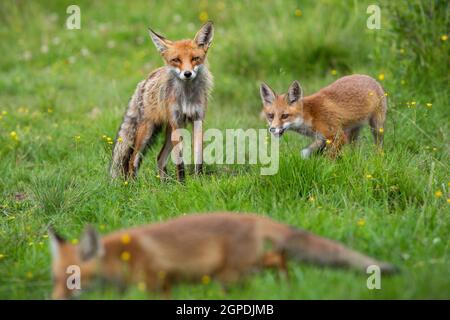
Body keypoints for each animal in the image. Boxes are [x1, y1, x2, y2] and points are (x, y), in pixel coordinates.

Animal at [47, 212, 396, 300]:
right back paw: (287, 286)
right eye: (55, 280)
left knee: (278, 257)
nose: (55, 301)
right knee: (280, 255)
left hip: (234, 274)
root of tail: (251, 217)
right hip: (239, 270)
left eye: (74, 281)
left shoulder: (159, 283)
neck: (122, 257)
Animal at [110, 21, 214, 182]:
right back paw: (133, 185)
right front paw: (182, 183)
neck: (187, 96)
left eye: (195, 58)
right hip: (147, 130)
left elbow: (198, 157)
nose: (187, 73)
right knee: (132, 159)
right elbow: (180, 161)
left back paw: (163, 183)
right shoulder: (176, 121)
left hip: (169, 131)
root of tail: (144, 81)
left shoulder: (198, 120)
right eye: (176, 60)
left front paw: (198, 181)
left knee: (159, 158)